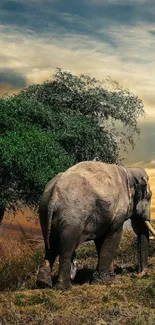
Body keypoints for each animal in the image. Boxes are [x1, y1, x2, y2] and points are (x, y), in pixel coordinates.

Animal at [36, 161, 154, 290]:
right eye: (149, 196)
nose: (137, 274)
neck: (128, 171)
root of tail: (54, 194)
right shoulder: (117, 212)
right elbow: (113, 237)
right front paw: (105, 281)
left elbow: (101, 240)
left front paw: (107, 278)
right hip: (72, 217)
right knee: (65, 248)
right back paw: (64, 287)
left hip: (44, 212)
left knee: (50, 246)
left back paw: (44, 284)